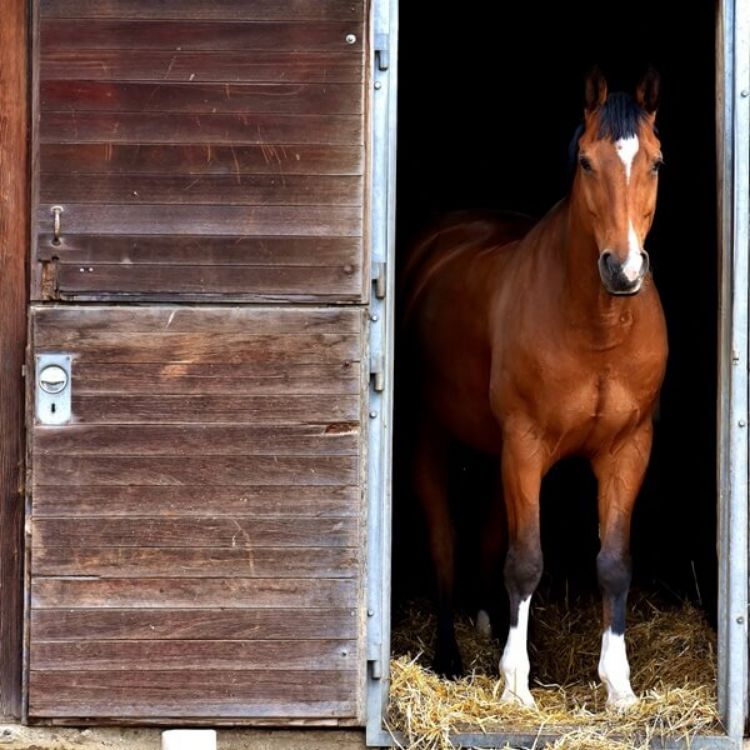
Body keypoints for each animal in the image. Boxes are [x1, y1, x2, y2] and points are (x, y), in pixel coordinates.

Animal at [402, 70, 672, 712]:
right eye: (586, 162)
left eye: (656, 162)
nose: (623, 270)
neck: (597, 327)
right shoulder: (525, 446)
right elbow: (525, 561)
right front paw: (516, 685)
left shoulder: (628, 449)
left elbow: (614, 563)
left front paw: (618, 686)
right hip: (432, 436)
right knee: (444, 540)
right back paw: (451, 657)